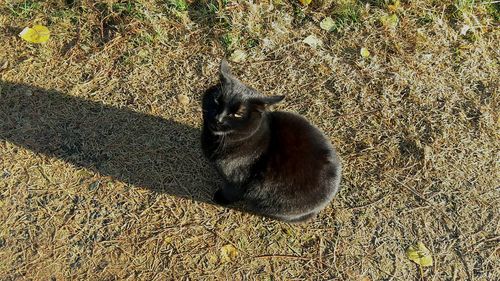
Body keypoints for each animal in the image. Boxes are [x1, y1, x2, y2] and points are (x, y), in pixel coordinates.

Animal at [201, 60, 342, 222]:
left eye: (237, 114)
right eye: (217, 100)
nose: (218, 118)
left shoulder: (238, 182)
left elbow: (231, 192)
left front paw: (220, 198)